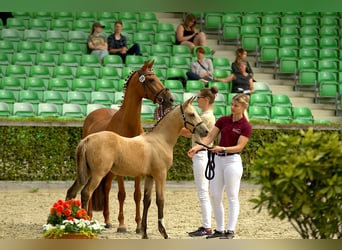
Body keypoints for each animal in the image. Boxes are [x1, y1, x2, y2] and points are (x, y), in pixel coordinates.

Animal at [65, 97, 207, 238]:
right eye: (192, 114)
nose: (205, 131)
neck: (160, 140)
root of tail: (87, 139)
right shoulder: (160, 175)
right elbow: (160, 200)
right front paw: (163, 232)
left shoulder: (149, 177)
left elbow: (146, 200)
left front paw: (144, 232)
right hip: (97, 174)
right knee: (86, 193)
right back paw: (83, 226)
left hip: (86, 173)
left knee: (71, 192)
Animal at [82, 60, 175, 232]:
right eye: (151, 79)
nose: (170, 99)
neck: (129, 126)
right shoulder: (121, 171)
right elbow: (122, 194)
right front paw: (122, 225)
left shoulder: (139, 166)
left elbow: (137, 195)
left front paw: (138, 226)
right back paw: (90, 218)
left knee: (105, 187)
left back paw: (107, 221)